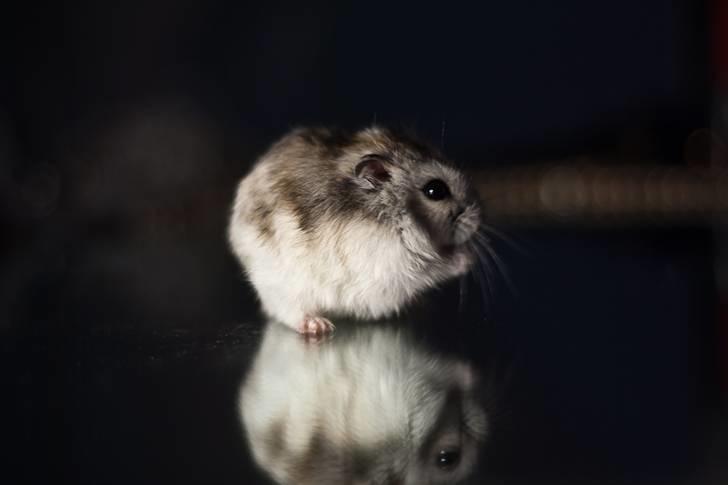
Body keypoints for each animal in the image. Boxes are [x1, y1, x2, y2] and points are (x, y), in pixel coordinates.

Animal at [228, 126, 482, 334]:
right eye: (435, 190)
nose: (477, 217)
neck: (391, 214)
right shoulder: (393, 264)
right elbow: (434, 265)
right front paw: (468, 256)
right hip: (280, 286)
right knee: (288, 311)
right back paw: (318, 327)